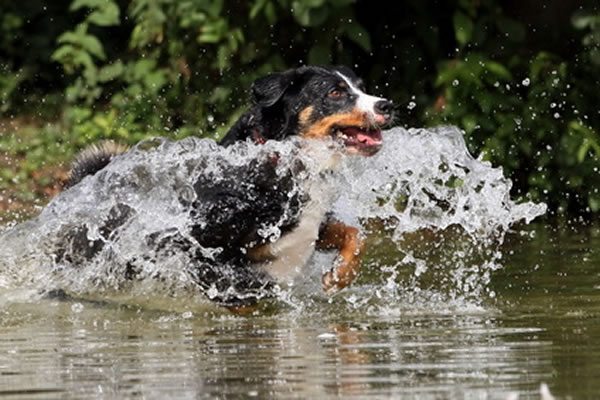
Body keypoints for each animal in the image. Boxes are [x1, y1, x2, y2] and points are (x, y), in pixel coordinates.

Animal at [64, 65, 394, 310]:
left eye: (361, 87)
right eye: (335, 92)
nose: (387, 104)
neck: (285, 162)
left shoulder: (310, 224)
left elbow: (355, 234)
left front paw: (340, 275)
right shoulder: (198, 245)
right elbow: (238, 287)